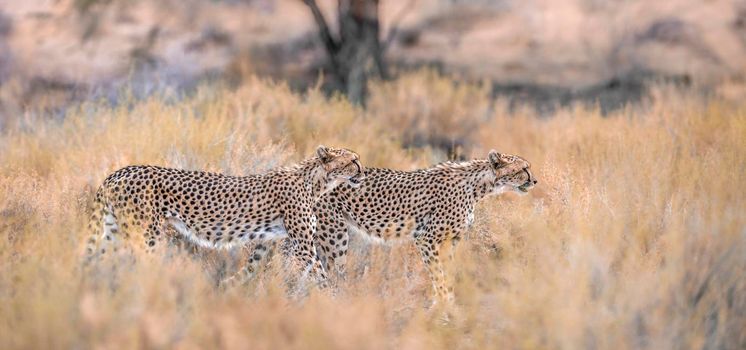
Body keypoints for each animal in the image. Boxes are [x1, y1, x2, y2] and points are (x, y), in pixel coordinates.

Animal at [83, 145, 364, 284]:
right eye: (353, 161)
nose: (362, 170)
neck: (315, 182)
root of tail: (119, 171)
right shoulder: (304, 246)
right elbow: (322, 276)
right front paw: (337, 306)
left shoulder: (266, 242)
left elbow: (249, 270)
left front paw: (228, 289)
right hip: (144, 234)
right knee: (137, 264)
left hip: (114, 231)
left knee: (98, 260)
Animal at [241, 149, 532, 302]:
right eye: (522, 169)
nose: (535, 180)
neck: (480, 186)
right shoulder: (427, 238)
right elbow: (438, 274)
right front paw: (444, 306)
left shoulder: (451, 240)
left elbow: (447, 271)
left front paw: (448, 301)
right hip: (333, 235)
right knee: (325, 271)